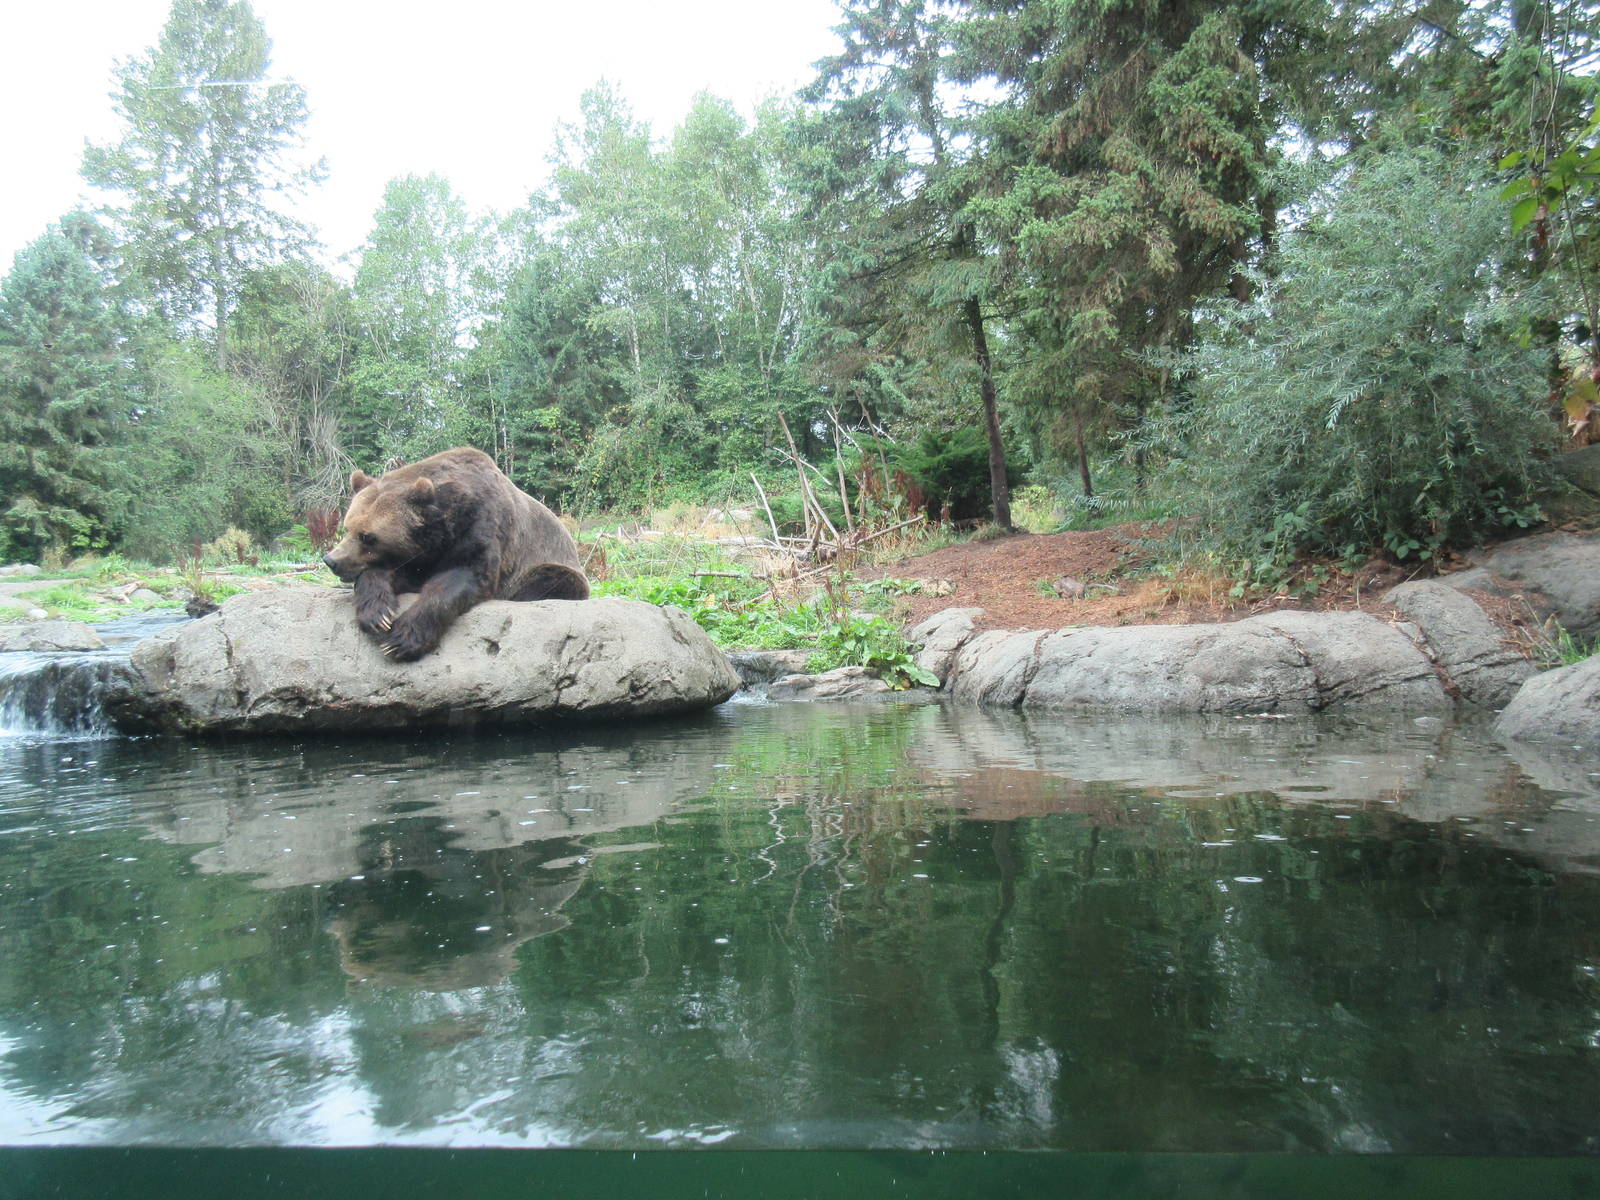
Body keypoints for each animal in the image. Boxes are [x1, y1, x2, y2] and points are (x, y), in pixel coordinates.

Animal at [322, 447, 589, 661]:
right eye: (347, 527)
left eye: (367, 536)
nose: (332, 560)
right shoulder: (421, 556)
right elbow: (389, 575)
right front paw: (377, 614)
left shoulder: (482, 525)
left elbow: (462, 577)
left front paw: (402, 639)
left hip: (550, 563)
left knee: (553, 579)